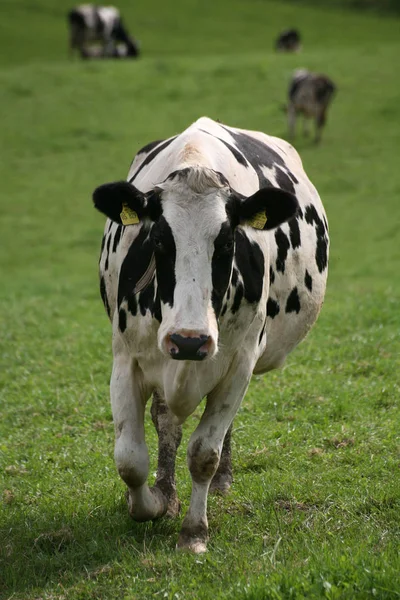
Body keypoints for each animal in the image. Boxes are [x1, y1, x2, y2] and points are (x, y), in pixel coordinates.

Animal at [93, 115, 328, 552]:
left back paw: (219, 482)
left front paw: (194, 532)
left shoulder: (238, 364)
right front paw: (152, 503)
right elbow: (130, 459)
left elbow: (204, 452)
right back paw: (167, 488)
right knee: (166, 422)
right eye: (157, 239)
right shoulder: (126, 359)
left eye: (227, 241)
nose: (189, 340)